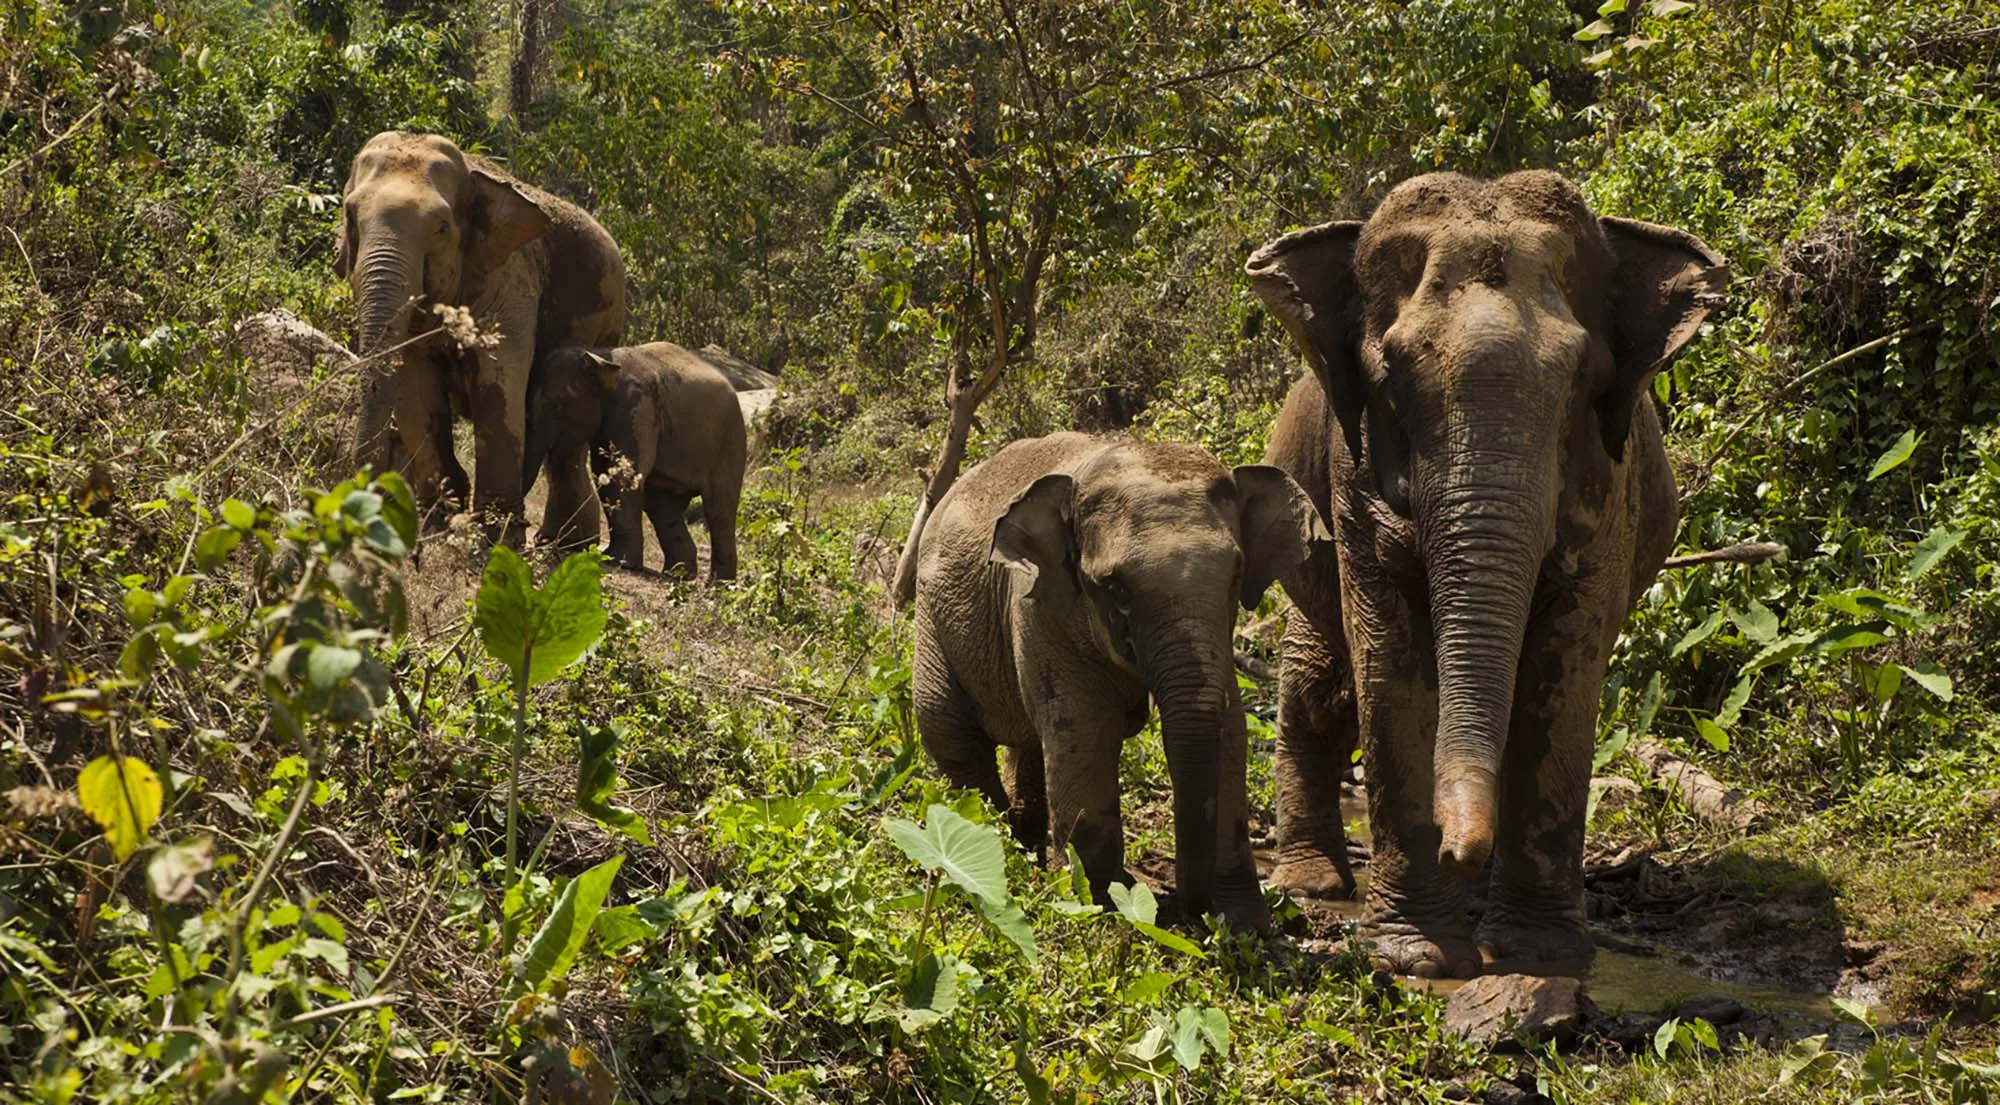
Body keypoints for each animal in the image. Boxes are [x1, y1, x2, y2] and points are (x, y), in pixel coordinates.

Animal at [337, 131, 626, 549]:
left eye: (441, 227)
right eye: (350, 216)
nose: (362, 496)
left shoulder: (511, 275)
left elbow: (498, 377)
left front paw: (494, 540)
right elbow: (414, 379)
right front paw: (438, 523)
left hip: (604, 322)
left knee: (566, 447)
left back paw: (564, 547)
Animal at [521, 342, 745, 581]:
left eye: (556, 405)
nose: (535, 538)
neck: (600, 356)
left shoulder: (635, 408)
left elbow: (621, 473)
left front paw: (617, 561)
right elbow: (604, 470)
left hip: (730, 441)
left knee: (719, 510)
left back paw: (717, 584)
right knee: (662, 507)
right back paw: (677, 574)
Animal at [911, 433, 1329, 931]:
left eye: (1235, 577)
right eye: (1116, 588)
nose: (1190, 913)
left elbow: (1229, 729)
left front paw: (1244, 924)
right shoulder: (1042, 606)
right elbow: (1085, 732)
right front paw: (1099, 908)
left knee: (1027, 743)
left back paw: (1030, 855)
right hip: (932, 619)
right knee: (950, 733)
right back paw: (999, 851)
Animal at [1248, 171, 1726, 977]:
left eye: (1582, 375)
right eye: (1392, 373)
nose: (1460, 850)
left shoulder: (1610, 483)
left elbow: (1565, 665)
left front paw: (1540, 955)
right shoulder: (1352, 475)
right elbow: (1389, 662)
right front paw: (1418, 956)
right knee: (1317, 688)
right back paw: (1313, 885)